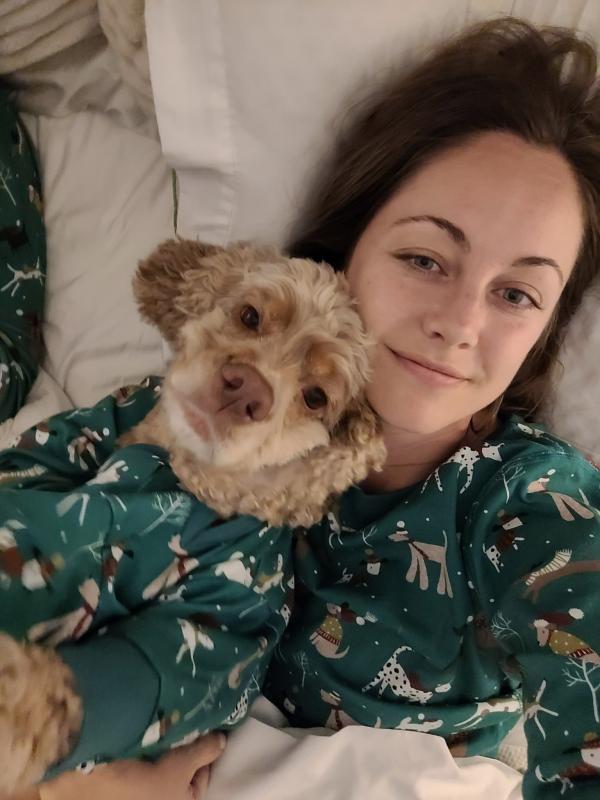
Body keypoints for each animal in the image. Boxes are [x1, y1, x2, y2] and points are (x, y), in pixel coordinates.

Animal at [0, 239, 386, 792]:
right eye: (250, 316)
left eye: (317, 397)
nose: (246, 389)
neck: (184, 470)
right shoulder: (74, 437)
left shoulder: (229, 613)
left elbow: (147, 677)